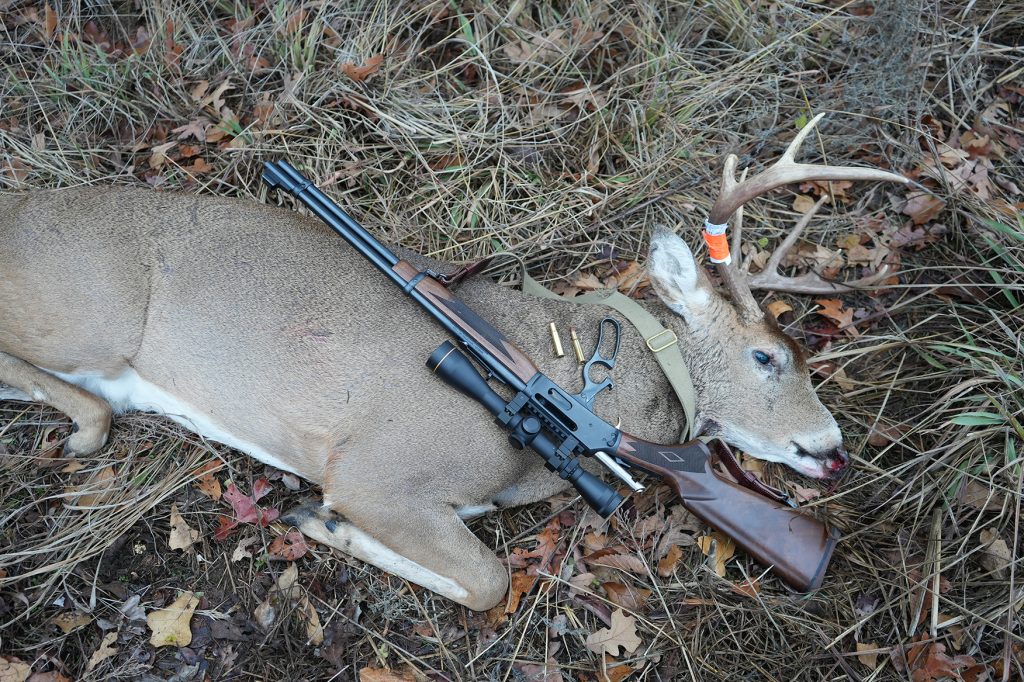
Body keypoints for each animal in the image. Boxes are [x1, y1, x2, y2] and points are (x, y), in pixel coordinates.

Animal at [0, 116, 906, 610]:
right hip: (88, 318)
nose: (832, 447)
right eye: (767, 355)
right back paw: (85, 430)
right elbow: (489, 580)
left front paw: (319, 525)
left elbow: (485, 577)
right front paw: (320, 522)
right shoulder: (374, 469)